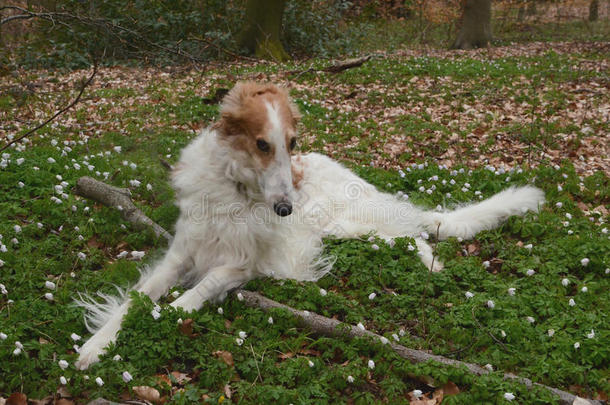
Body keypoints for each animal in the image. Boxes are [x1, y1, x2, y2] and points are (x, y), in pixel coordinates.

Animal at [73, 81, 544, 370]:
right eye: (262, 144)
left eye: (291, 143)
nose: (286, 209)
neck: (235, 190)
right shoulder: (180, 255)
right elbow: (134, 300)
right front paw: (97, 345)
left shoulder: (242, 265)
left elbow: (188, 296)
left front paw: (163, 317)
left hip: (346, 225)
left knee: (415, 236)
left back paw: (433, 265)